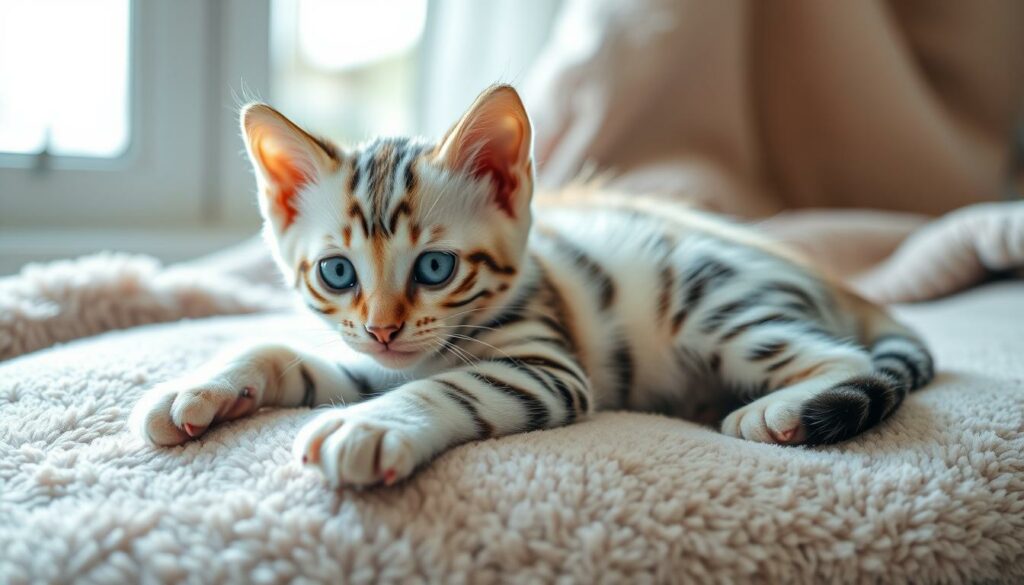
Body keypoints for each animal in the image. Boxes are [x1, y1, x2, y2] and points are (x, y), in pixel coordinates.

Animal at [125, 86, 929, 489]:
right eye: (337, 272)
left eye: (436, 268)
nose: (384, 327)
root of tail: (829, 281)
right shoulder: (364, 358)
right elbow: (281, 352)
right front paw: (200, 387)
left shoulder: (546, 364)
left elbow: (446, 388)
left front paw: (372, 427)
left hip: (713, 300)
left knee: (846, 359)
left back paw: (777, 412)